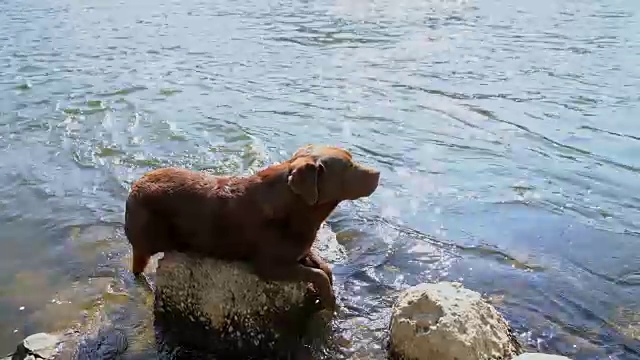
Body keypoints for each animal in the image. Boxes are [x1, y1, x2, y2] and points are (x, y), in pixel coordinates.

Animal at [124, 145, 380, 310]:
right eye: (349, 166)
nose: (378, 173)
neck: (296, 208)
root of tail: (134, 188)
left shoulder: (300, 249)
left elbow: (324, 267)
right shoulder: (269, 265)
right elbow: (317, 274)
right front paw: (329, 300)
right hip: (146, 239)